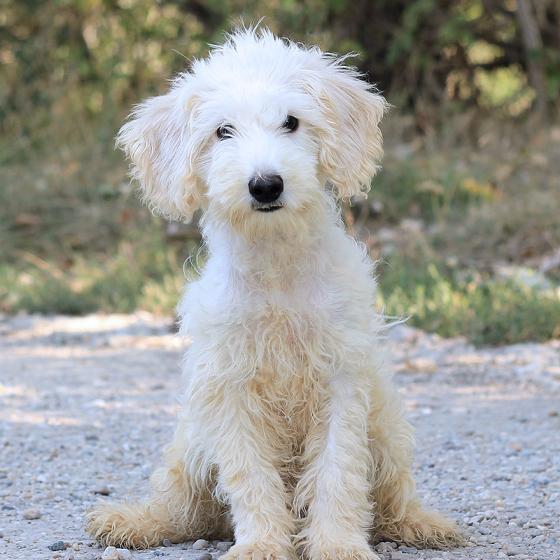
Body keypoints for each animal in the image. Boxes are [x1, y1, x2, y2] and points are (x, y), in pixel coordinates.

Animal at [87, 29, 463, 559]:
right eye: (223, 131)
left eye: (291, 122)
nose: (265, 184)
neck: (277, 271)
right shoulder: (231, 386)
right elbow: (249, 477)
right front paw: (262, 545)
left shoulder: (341, 382)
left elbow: (338, 473)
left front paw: (338, 545)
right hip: (193, 439)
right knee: (184, 507)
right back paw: (132, 522)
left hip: (386, 429)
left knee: (393, 501)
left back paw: (425, 524)